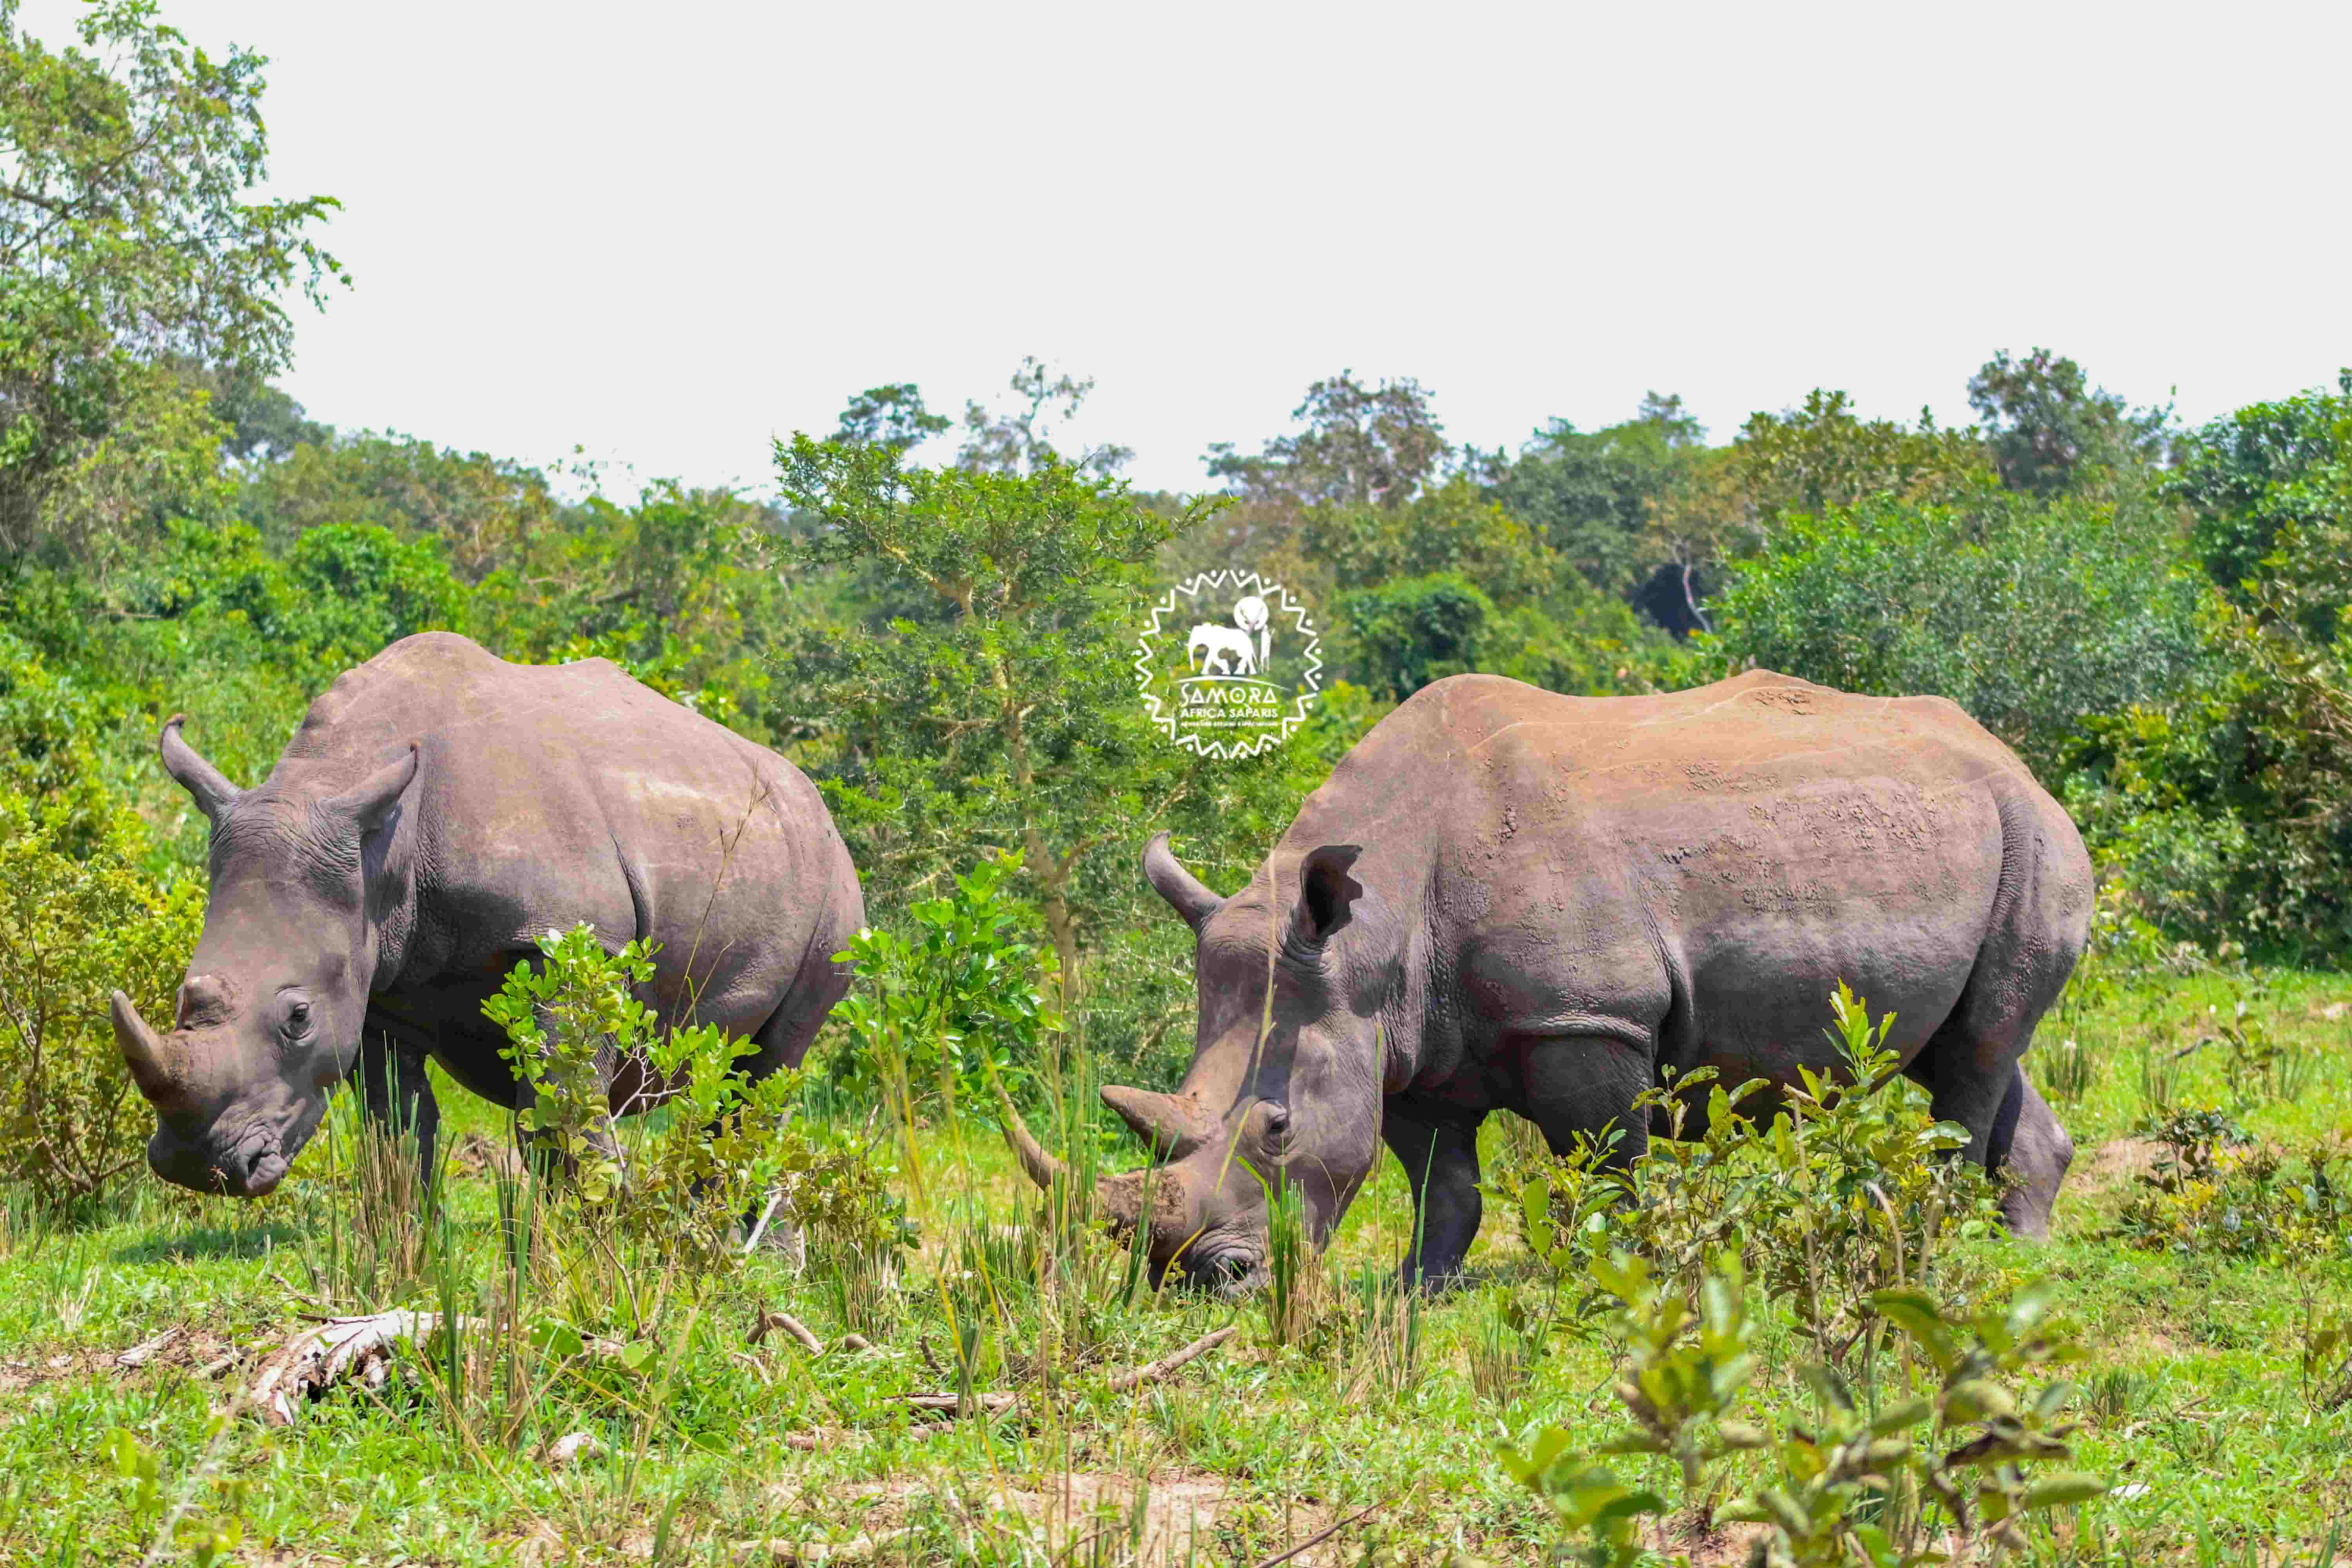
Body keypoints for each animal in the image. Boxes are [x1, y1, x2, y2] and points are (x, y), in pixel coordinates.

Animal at [111, 632, 863, 1197]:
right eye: (182, 996)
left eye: (298, 1018)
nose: (197, 1167)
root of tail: (814, 797)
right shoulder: (377, 974)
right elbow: (397, 1126)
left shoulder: (570, 940)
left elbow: (559, 1110)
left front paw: (595, 1234)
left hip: (833, 892)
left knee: (767, 1073)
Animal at [1005, 670, 2090, 1288]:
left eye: (1275, 1129)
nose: (1198, 1282)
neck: (1370, 935)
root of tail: (2015, 757)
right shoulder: (1402, 1042)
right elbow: (1441, 1181)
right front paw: (1418, 1288)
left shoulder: (1585, 1017)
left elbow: (1607, 1162)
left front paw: (1620, 1276)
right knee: (1968, 1044)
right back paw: (2024, 1248)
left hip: (2033, 835)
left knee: (1977, 1052)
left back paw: (1941, 1244)